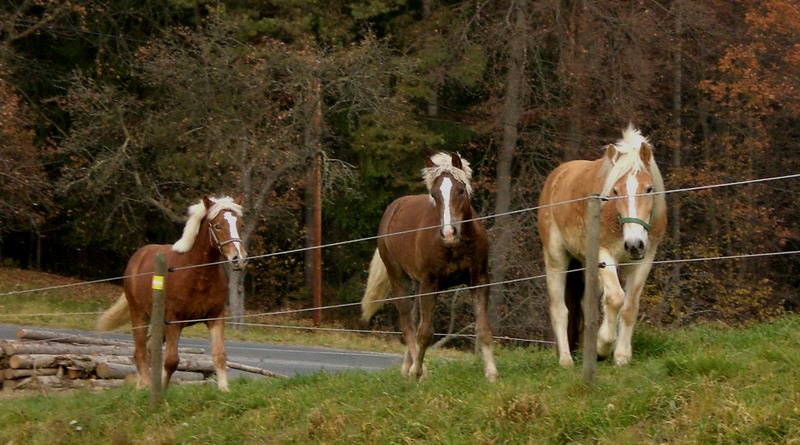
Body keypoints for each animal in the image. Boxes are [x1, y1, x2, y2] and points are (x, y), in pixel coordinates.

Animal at [94, 196, 244, 390]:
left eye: (239, 224)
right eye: (218, 226)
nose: (238, 258)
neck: (197, 275)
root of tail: (138, 256)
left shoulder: (215, 318)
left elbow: (219, 356)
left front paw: (224, 390)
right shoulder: (174, 320)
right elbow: (172, 360)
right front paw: (161, 390)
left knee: (148, 348)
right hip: (139, 314)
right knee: (140, 351)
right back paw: (144, 385)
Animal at [360, 153, 496, 382]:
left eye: (460, 190)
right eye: (434, 194)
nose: (448, 233)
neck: (455, 246)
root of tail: (393, 209)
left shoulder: (479, 279)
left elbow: (484, 327)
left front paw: (492, 373)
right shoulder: (429, 283)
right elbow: (425, 332)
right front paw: (418, 372)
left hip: (418, 284)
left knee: (413, 320)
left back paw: (407, 368)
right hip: (399, 278)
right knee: (407, 323)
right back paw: (416, 369)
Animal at [536, 125, 668, 364]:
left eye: (649, 188)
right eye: (615, 191)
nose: (634, 244)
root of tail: (557, 175)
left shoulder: (646, 259)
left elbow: (629, 307)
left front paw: (622, 355)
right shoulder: (604, 255)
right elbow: (615, 298)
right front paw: (603, 345)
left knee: (585, 306)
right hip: (555, 258)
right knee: (560, 310)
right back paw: (566, 360)